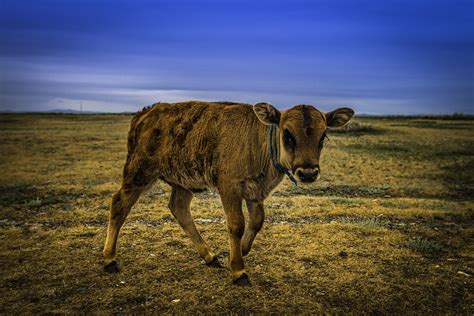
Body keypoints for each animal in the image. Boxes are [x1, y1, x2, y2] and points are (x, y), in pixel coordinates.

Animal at [104, 101, 356, 286]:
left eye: (323, 136)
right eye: (287, 135)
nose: (308, 173)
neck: (257, 141)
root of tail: (145, 113)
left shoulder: (255, 192)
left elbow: (257, 221)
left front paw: (241, 250)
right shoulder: (229, 188)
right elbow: (236, 224)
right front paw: (238, 270)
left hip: (183, 182)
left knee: (179, 208)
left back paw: (210, 256)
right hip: (139, 172)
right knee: (119, 204)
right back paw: (109, 259)